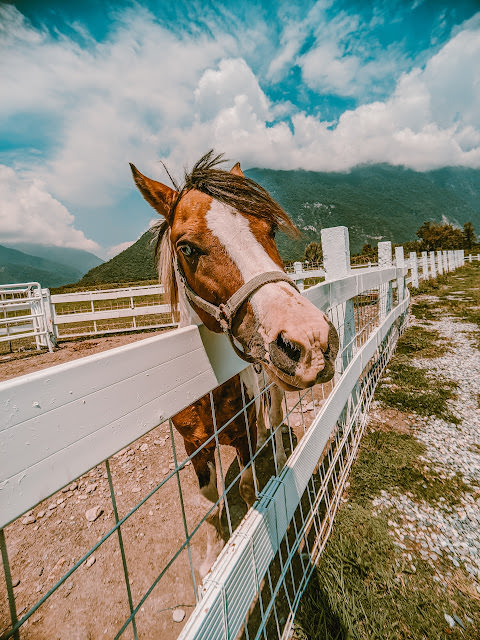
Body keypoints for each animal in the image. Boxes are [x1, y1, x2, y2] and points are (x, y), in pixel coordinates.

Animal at [127, 151, 338, 580]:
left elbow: (244, 486)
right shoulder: (194, 446)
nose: (311, 341)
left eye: (270, 229)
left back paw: (278, 456)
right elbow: (209, 499)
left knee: (276, 420)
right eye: (187, 248)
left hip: (274, 391)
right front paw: (210, 559)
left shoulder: (244, 434)